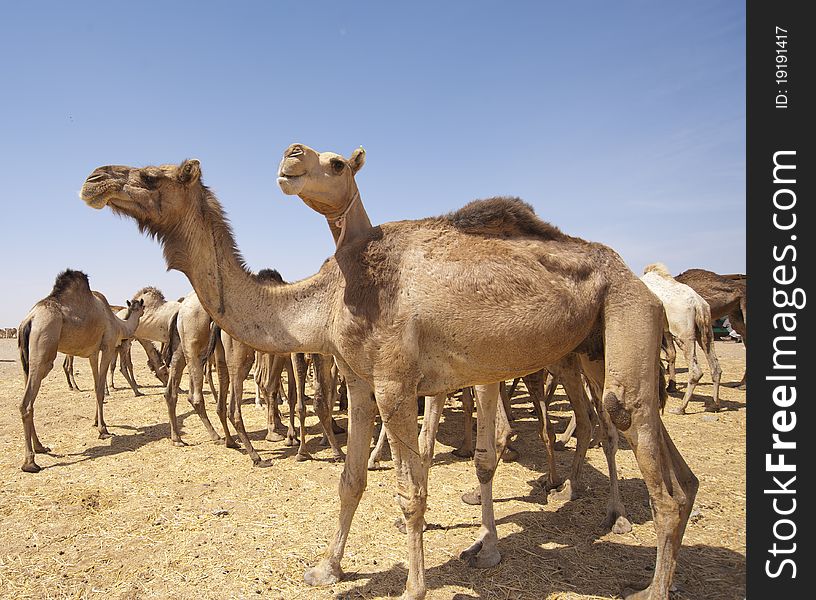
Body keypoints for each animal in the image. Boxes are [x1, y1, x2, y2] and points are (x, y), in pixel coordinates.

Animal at [17, 270, 145, 474]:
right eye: (141, 306)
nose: (143, 309)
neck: (117, 322)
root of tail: (29, 319)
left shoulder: (93, 352)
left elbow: (95, 386)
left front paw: (97, 422)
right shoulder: (108, 346)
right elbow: (100, 390)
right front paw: (103, 430)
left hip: (26, 358)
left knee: (29, 398)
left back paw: (41, 447)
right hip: (43, 347)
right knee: (26, 403)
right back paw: (30, 462)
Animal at [81, 156, 696, 600]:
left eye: (150, 175)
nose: (93, 178)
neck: (330, 294)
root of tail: (642, 284)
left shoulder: (396, 385)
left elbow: (411, 490)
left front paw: (413, 587)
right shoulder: (357, 380)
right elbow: (351, 479)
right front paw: (326, 569)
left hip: (623, 326)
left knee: (648, 466)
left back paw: (647, 584)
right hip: (601, 345)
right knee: (677, 474)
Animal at [640, 264, 724, 414]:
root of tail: (698, 304)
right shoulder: (664, 330)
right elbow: (669, 355)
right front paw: (670, 387)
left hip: (682, 332)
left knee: (695, 371)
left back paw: (680, 408)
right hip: (706, 329)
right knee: (715, 366)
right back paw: (714, 405)